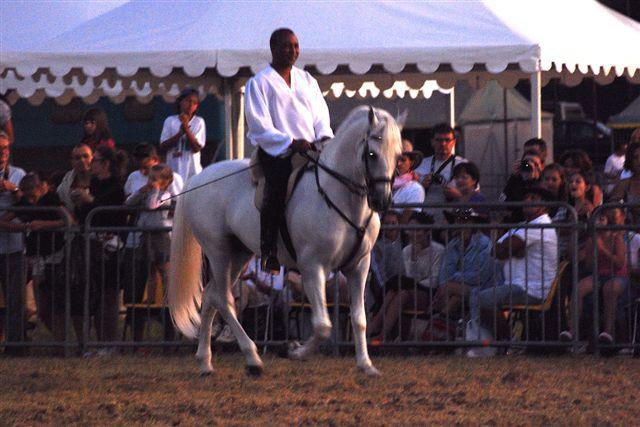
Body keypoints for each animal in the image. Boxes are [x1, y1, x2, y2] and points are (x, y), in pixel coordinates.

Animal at [168, 107, 402, 378]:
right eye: (372, 154)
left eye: (398, 155)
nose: (382, 200)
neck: (339, 198)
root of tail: (196, 179)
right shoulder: (313, 267)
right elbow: (322, 325)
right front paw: (293, 351)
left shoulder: (358, 267)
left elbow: (359, 318)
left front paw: (366, 365)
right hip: (218, 252)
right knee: (223, 299)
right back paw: (253, 359)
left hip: (239, 254)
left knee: (210, 296)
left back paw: (206, 362)